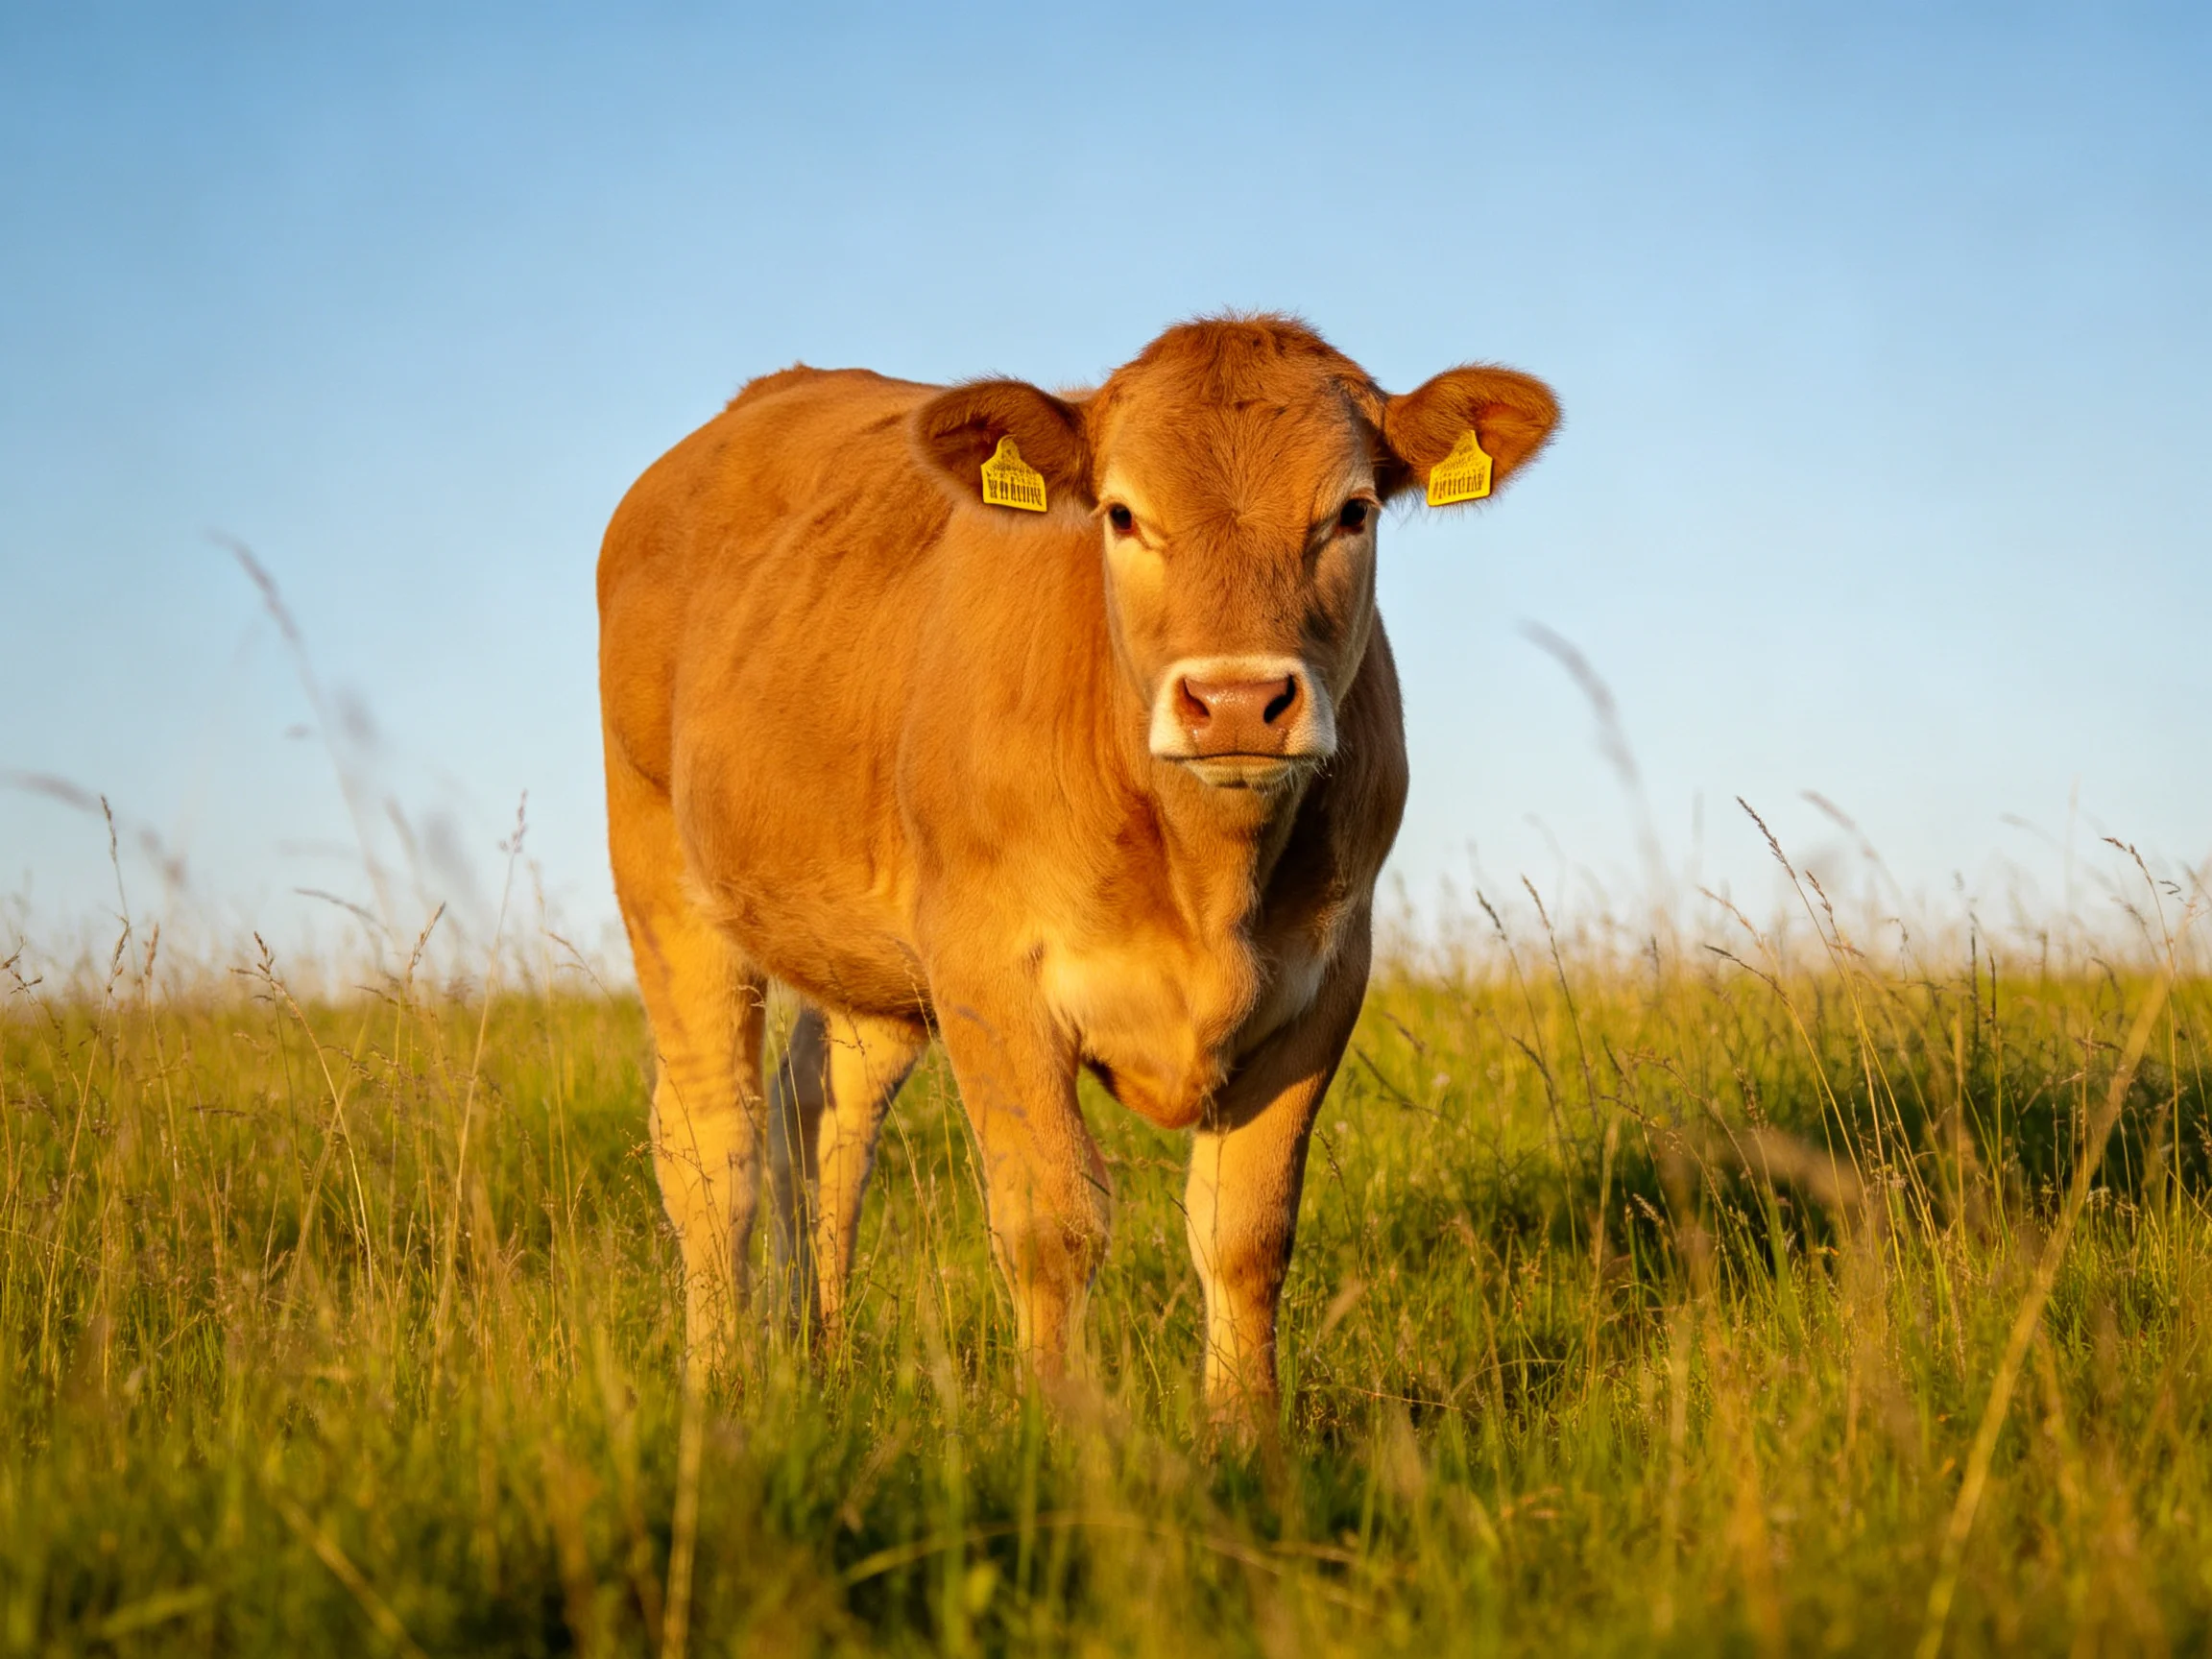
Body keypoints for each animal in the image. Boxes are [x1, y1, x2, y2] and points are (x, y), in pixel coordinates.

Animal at [597, 315, 1558, 1414]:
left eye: (1352, 512)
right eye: (1122, 514)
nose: (1236, 701)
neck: (1207, 878)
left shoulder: (1327, 976)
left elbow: (1245, 1232)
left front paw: (1246, 1438)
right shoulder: (988, 972)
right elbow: (1052, 1221)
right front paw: (1058, 1432)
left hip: (868, 957)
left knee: (823, 1126)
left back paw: (821, 1358)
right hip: (661, 865)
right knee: (714, 1141)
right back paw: (720, 1384)